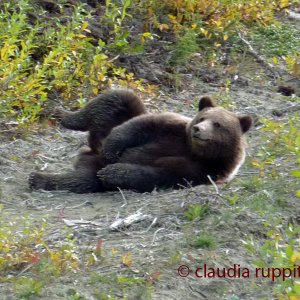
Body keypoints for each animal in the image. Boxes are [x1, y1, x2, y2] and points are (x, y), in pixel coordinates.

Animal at [28, 89, 253, 193]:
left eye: (218, 124)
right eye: (202, 118)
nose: (198, 130)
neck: (194, 151)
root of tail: (90, 150)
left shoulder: (200, 171)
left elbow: (154, 174)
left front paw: (113, 172)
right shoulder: (173, 128)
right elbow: (141, 126)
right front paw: (111, 151)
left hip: (90, 167)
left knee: (82, 180)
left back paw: (39, 178)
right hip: (114, 117)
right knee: (115, 99)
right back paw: (58, 113)